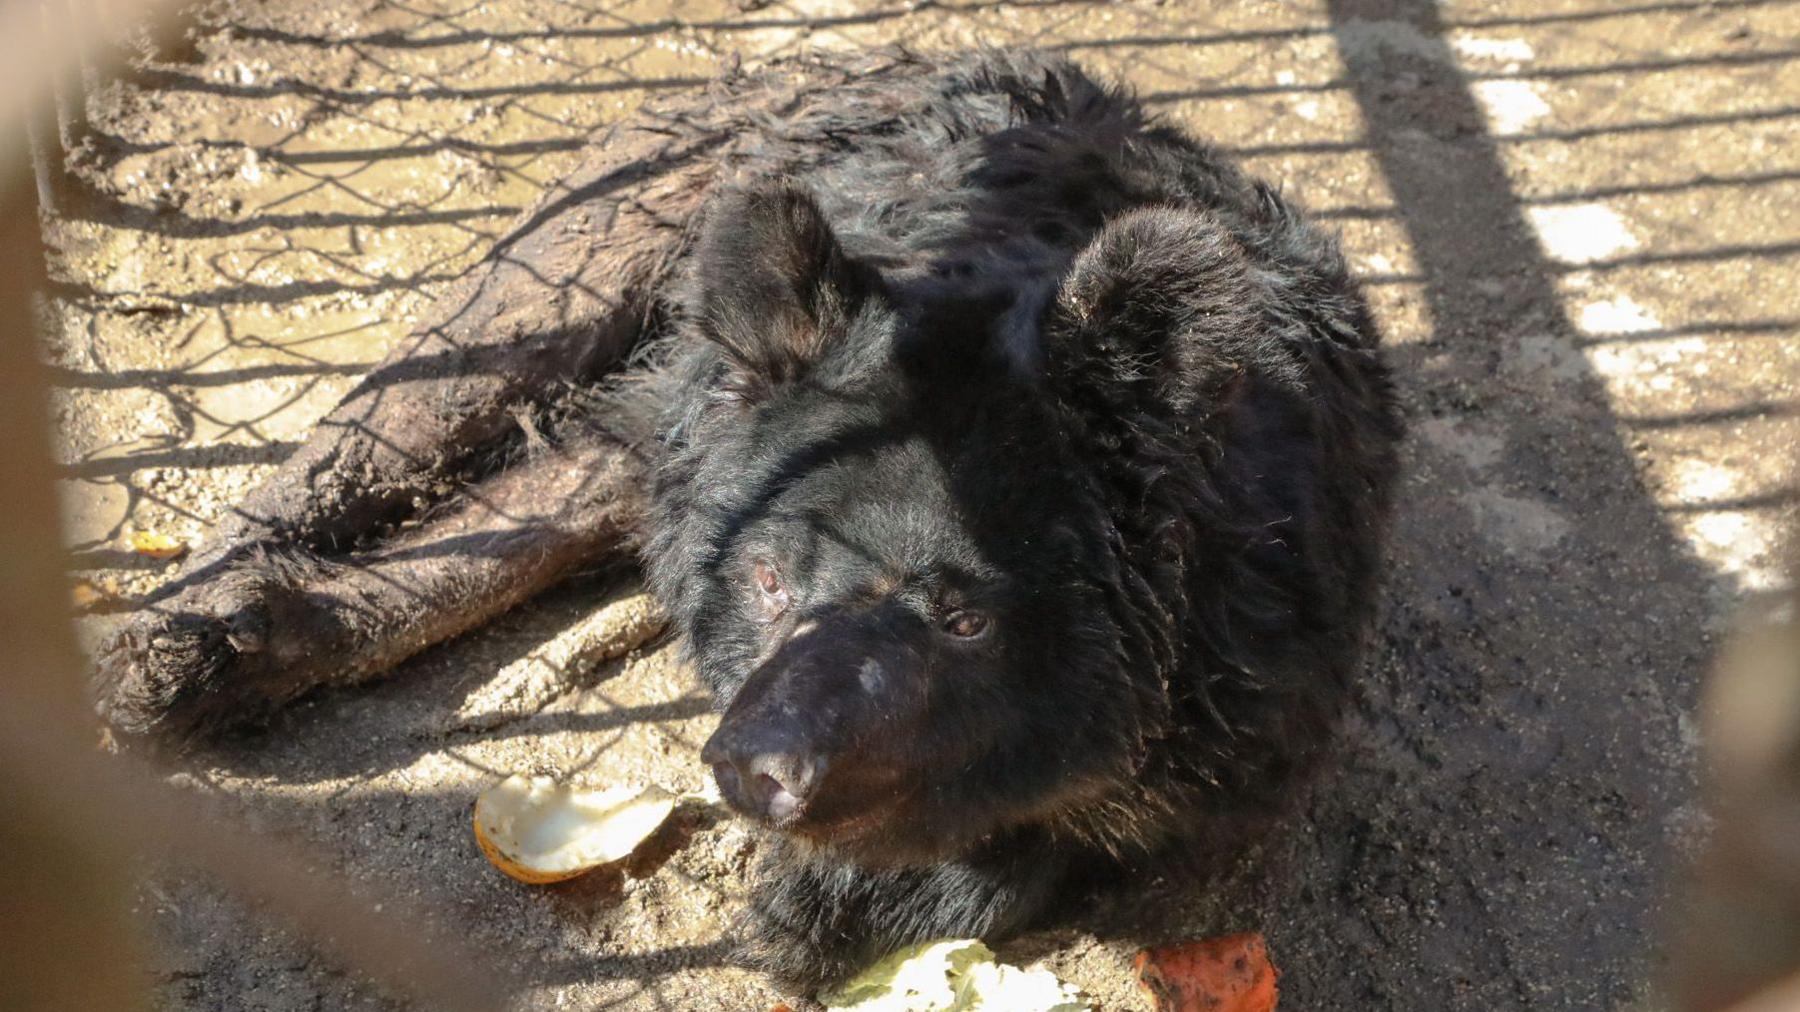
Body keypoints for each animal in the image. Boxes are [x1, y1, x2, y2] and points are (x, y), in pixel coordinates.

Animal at [92, 50, 1401, 994]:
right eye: (767, 579)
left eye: (966, 620)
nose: (756, 766)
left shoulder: (1264, 686)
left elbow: (1121, 854)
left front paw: (807, 907)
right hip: (602, 237)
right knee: (416, 399)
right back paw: (162, 648)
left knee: (529, 501)